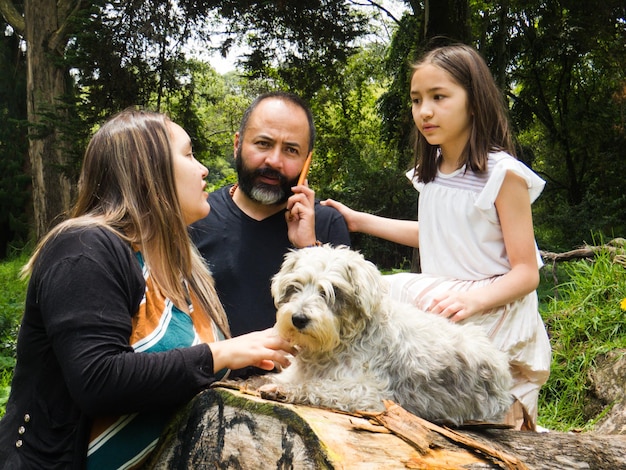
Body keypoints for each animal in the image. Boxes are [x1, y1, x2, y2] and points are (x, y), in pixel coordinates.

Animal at [264, 246, 512, 426]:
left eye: (332, 291)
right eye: (295, 286)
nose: (298, 318)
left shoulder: (366, 392)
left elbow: (316, 387)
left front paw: (283, 390)